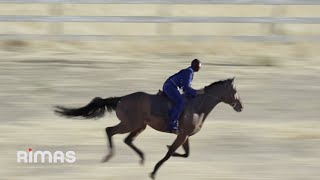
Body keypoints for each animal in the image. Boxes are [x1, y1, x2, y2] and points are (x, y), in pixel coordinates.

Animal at [53, 77, 242, 179]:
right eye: (235, 91)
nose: (240, 106)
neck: (197, 106)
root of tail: (121, 99)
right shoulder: (182, 135)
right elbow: (169, 154)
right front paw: (154, 172)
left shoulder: (185, 135)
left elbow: (185, 154)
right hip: (130, 124)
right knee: (110, 130)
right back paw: (109, 156)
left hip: (139, 125)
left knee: (127, 139)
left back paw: (141, 157)